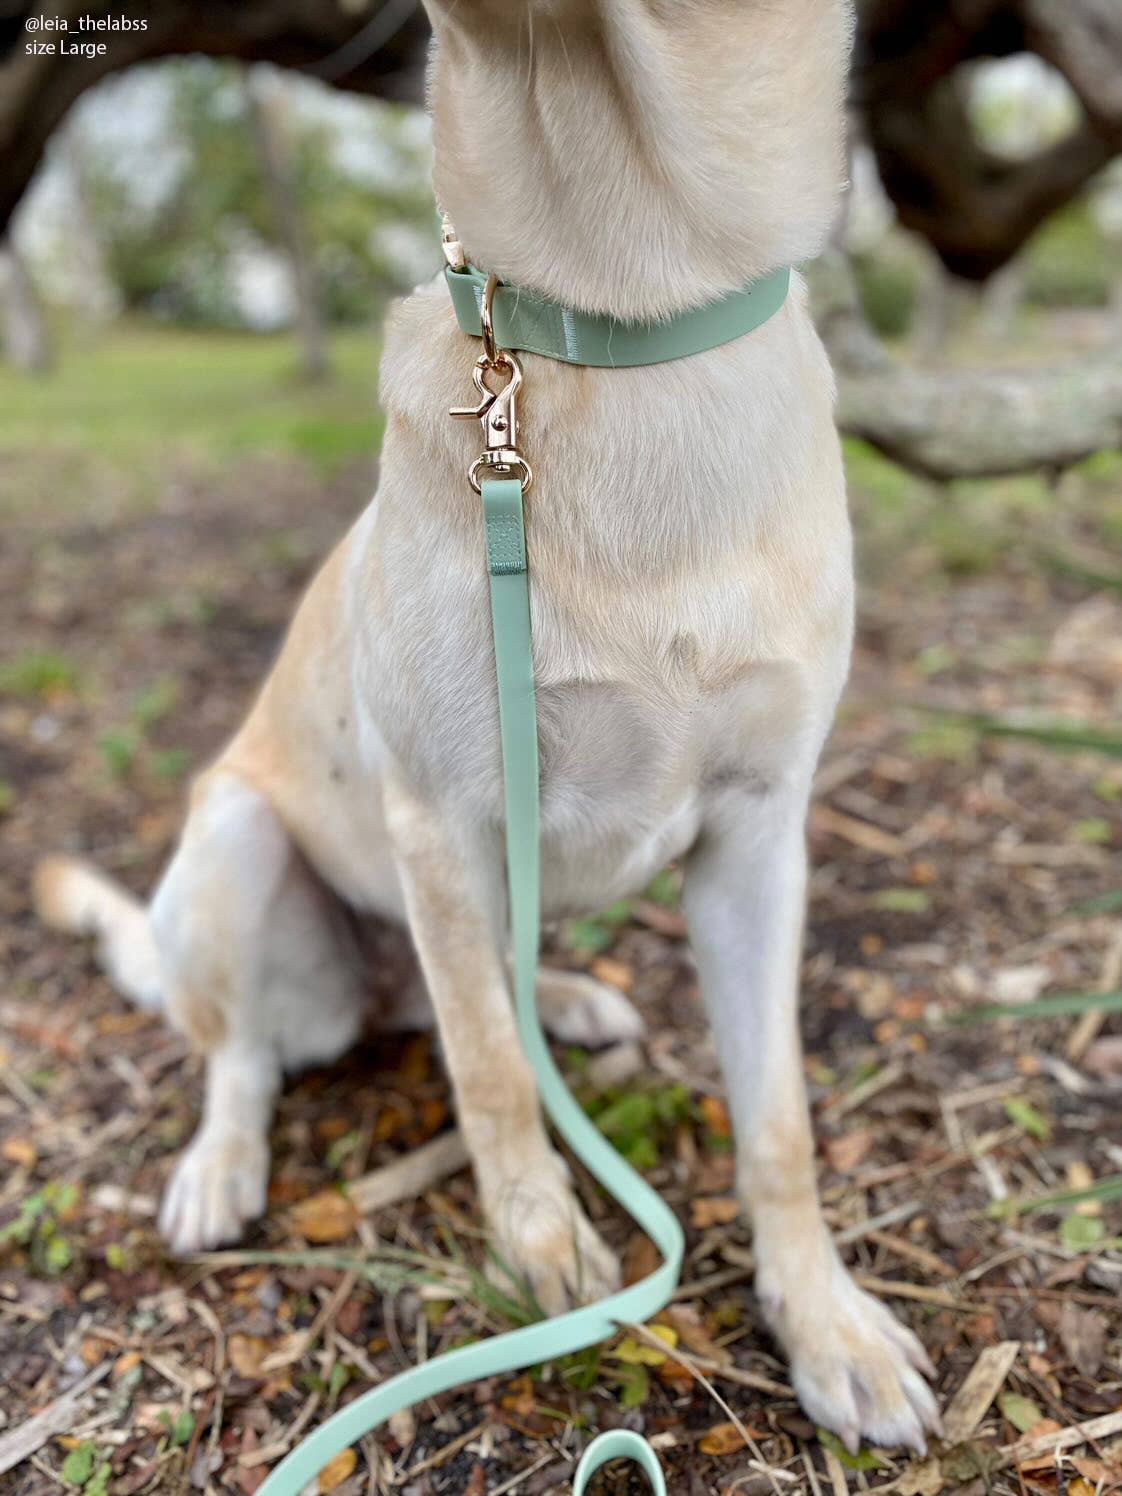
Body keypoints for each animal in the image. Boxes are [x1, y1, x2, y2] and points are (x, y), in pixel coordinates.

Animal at [35, 0, 945, 1454]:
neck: (621, 328)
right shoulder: (443, 822)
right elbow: (488, 1075)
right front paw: (544, 1246)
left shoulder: (759, 842)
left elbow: (780, 1127)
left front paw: (826, 1325)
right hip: (239, 838)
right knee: (250, 1051)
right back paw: (223, 1163)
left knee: (445, 1002)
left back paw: (567, 998)